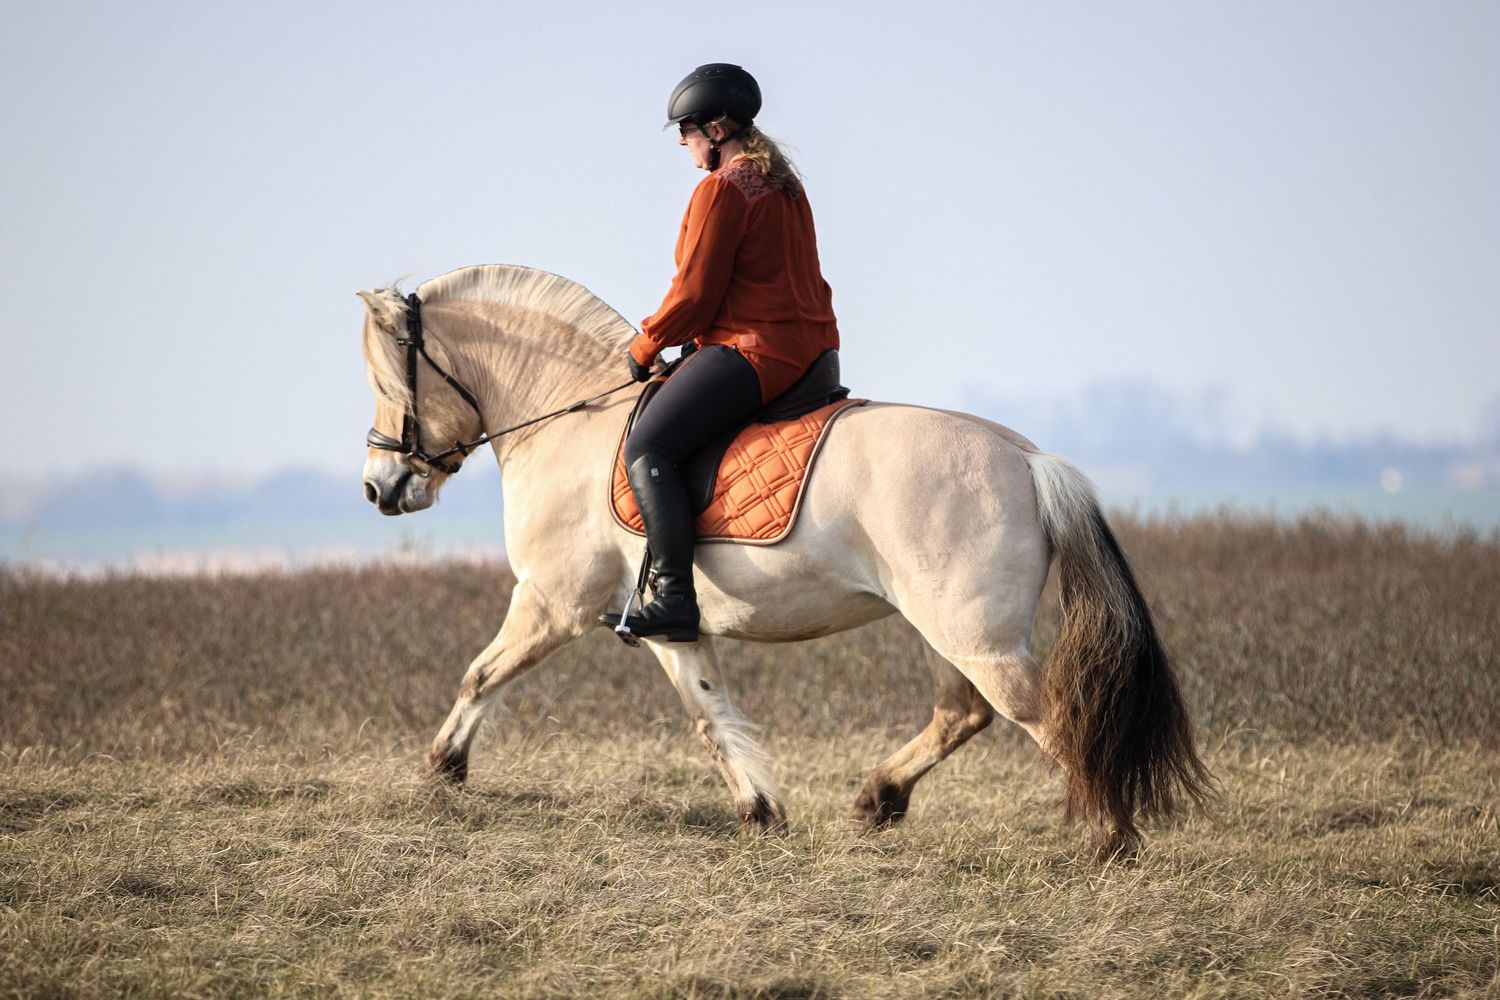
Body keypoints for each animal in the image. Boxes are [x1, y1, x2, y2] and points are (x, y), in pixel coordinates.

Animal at [358, 264, 1213, 860]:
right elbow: (709, 717)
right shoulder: (671, 625)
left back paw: (1111, 843)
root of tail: (1028, 459)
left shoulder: (551, 602)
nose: (378, 487)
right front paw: (762, 812)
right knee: (961, 712)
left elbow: (480, 674)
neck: (575, 418)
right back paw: (878, 799)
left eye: (385, 377)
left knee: (1050, 718)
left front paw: (441, 771)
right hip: (947, 631)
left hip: (978, 638)